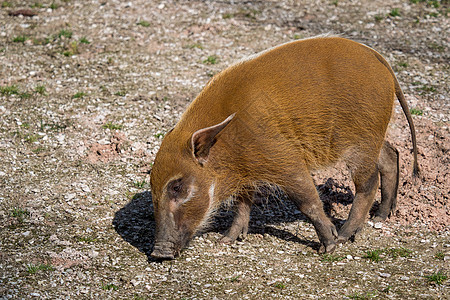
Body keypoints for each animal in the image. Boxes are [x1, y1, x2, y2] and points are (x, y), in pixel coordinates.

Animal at [149, 35, 420, 260]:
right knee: (391, 155)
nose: (158, 253)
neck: (226, 142)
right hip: (372, 136)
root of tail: (380, 60)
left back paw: (345, 235)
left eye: (177, 186)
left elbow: (307, 201)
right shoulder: (246, 170)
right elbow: (242, 205)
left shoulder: (283, 158)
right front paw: (226, 240)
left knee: (368, 183)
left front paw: (328, 246)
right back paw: (381, 215)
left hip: (361, 142)